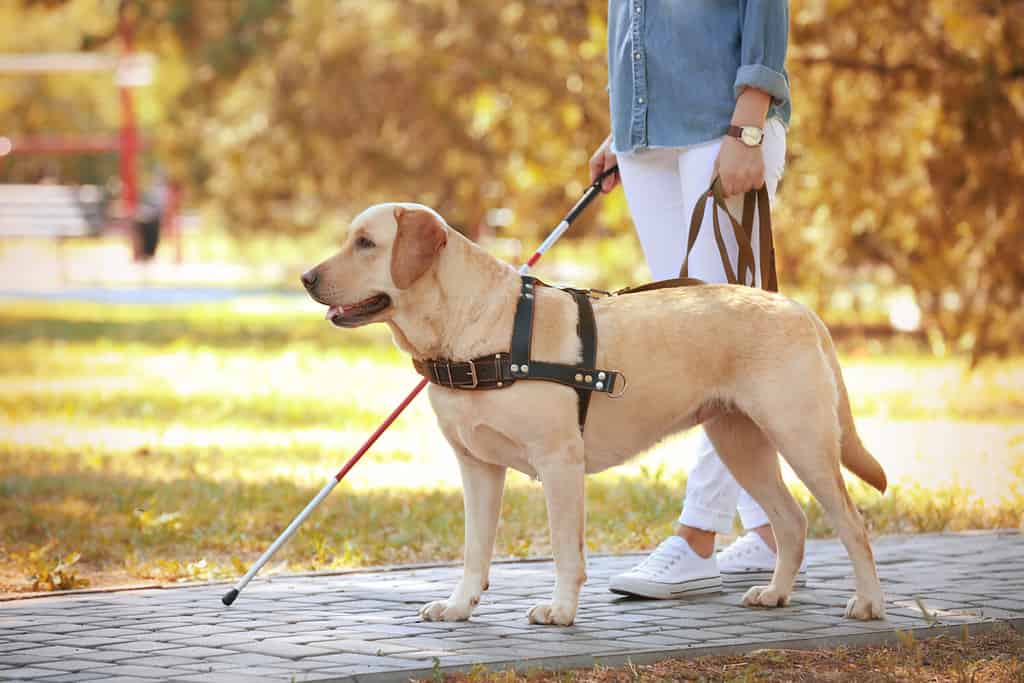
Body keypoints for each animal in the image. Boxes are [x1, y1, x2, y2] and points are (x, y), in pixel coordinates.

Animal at [301, 201, 888, 626]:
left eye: (366, 243)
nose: (306, 277)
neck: (473, 330)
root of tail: (799, 309)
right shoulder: (477, 466)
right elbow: (474, 550)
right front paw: (461, 605)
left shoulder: (560, 463)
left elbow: (565, 550)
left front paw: (561, 611)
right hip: (740, 442)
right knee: (791, 521)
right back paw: (775, 594)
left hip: (802, 439)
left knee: (852, 523)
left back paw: (868, 604)